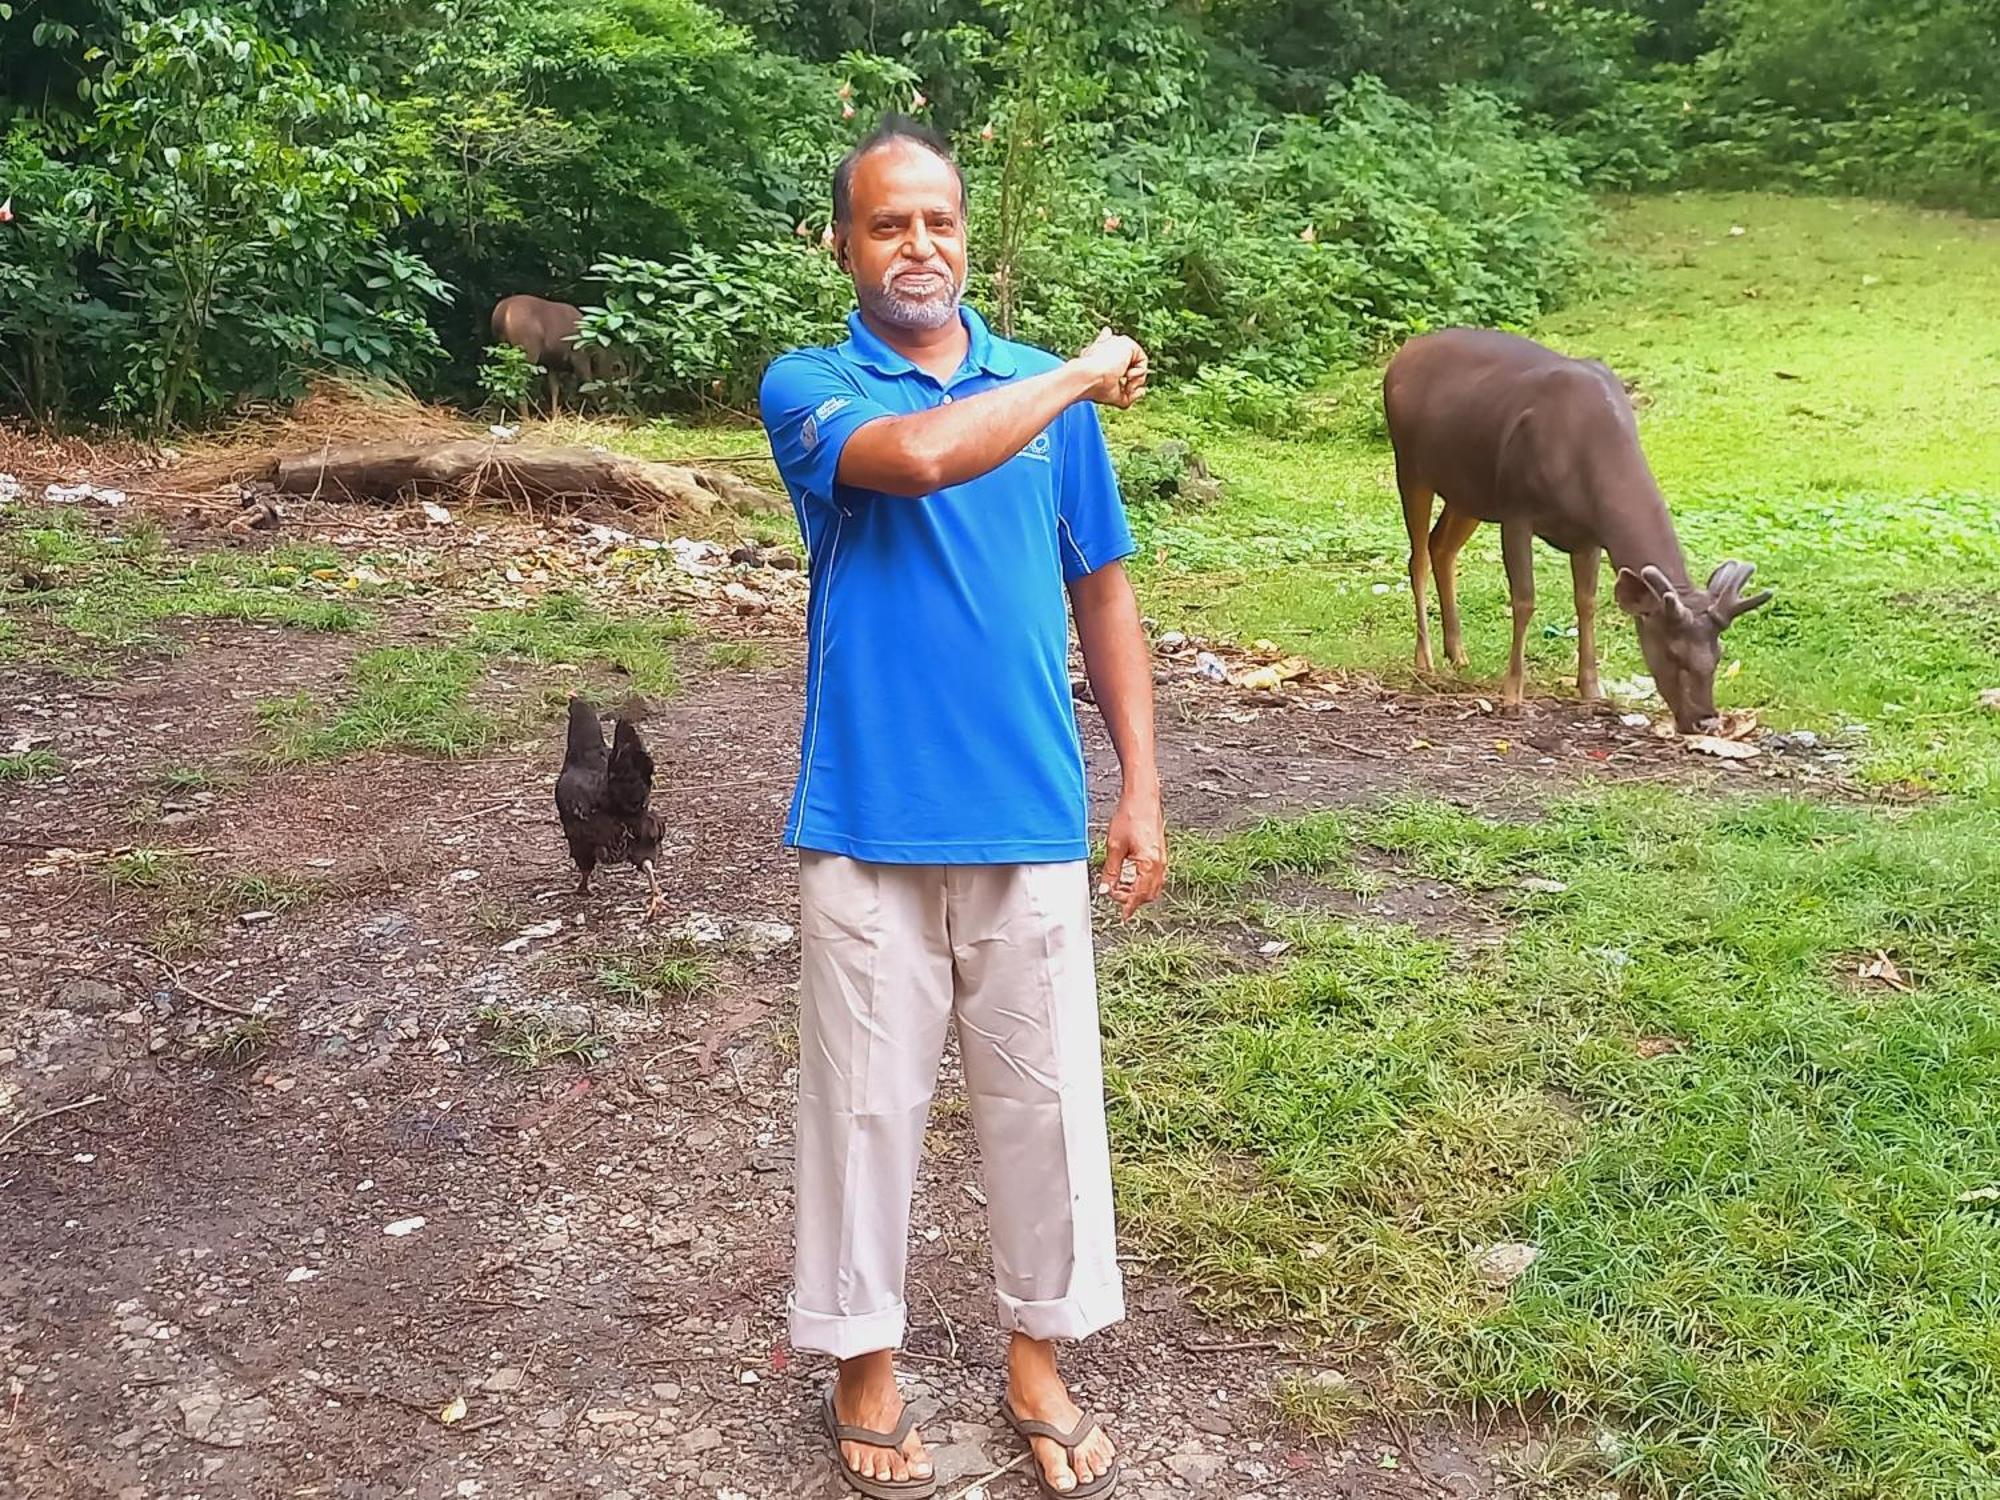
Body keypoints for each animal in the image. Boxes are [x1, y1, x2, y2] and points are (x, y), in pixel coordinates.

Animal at [486, 296, 624, 418]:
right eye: (617, 368)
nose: (620, 404)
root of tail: (503, 313)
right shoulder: (579, 358)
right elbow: (588, 386)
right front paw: (603, 414)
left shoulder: (551, 364)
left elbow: (554, 390)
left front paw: (555, 415)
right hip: (527, 350)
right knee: (519, 383)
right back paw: (525, 418)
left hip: (502, 349)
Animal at [1384, 326, 1776, 736]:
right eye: (1672, 651)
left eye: (1718, 654)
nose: (1706, 722)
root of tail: (1402, 354)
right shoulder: (1515, 507)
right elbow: (1524, 600)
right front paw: (1512, 695)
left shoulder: (1589, 535)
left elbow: (1585, 602)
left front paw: (1591, 688)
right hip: (1410, 463)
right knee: (1418, 557)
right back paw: (1425, 659)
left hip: (1469, 489)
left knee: (1442, 547)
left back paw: (1457, 653)